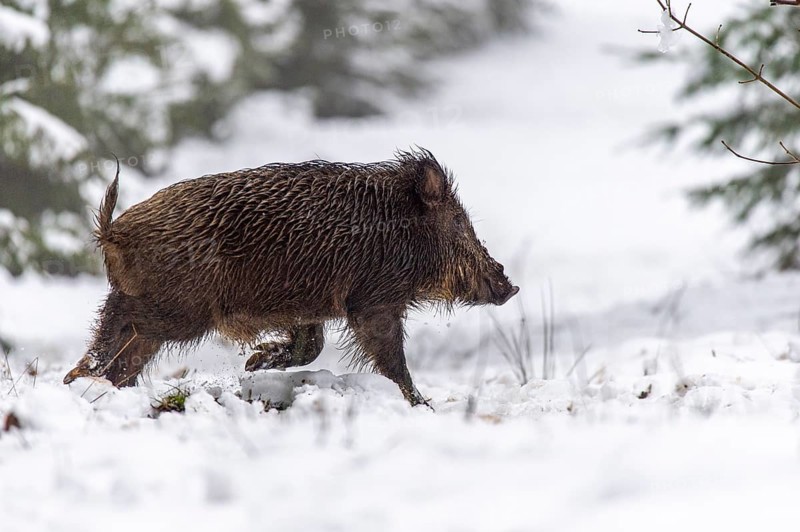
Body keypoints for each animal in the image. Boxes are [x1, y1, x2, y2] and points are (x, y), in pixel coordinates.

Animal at [64, 149, 519, 406]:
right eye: (458, 223)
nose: (510, 286)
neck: (401, 234)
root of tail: (114, 231)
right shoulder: (373, 302)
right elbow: (391, 361)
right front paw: (422, 405)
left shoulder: (307, 308)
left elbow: (310, 347)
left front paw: (253, 362)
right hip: (176, 312)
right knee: (123, 343)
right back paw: (89, 382)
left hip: (141, 304)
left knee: (113, 345)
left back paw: (83, 383)